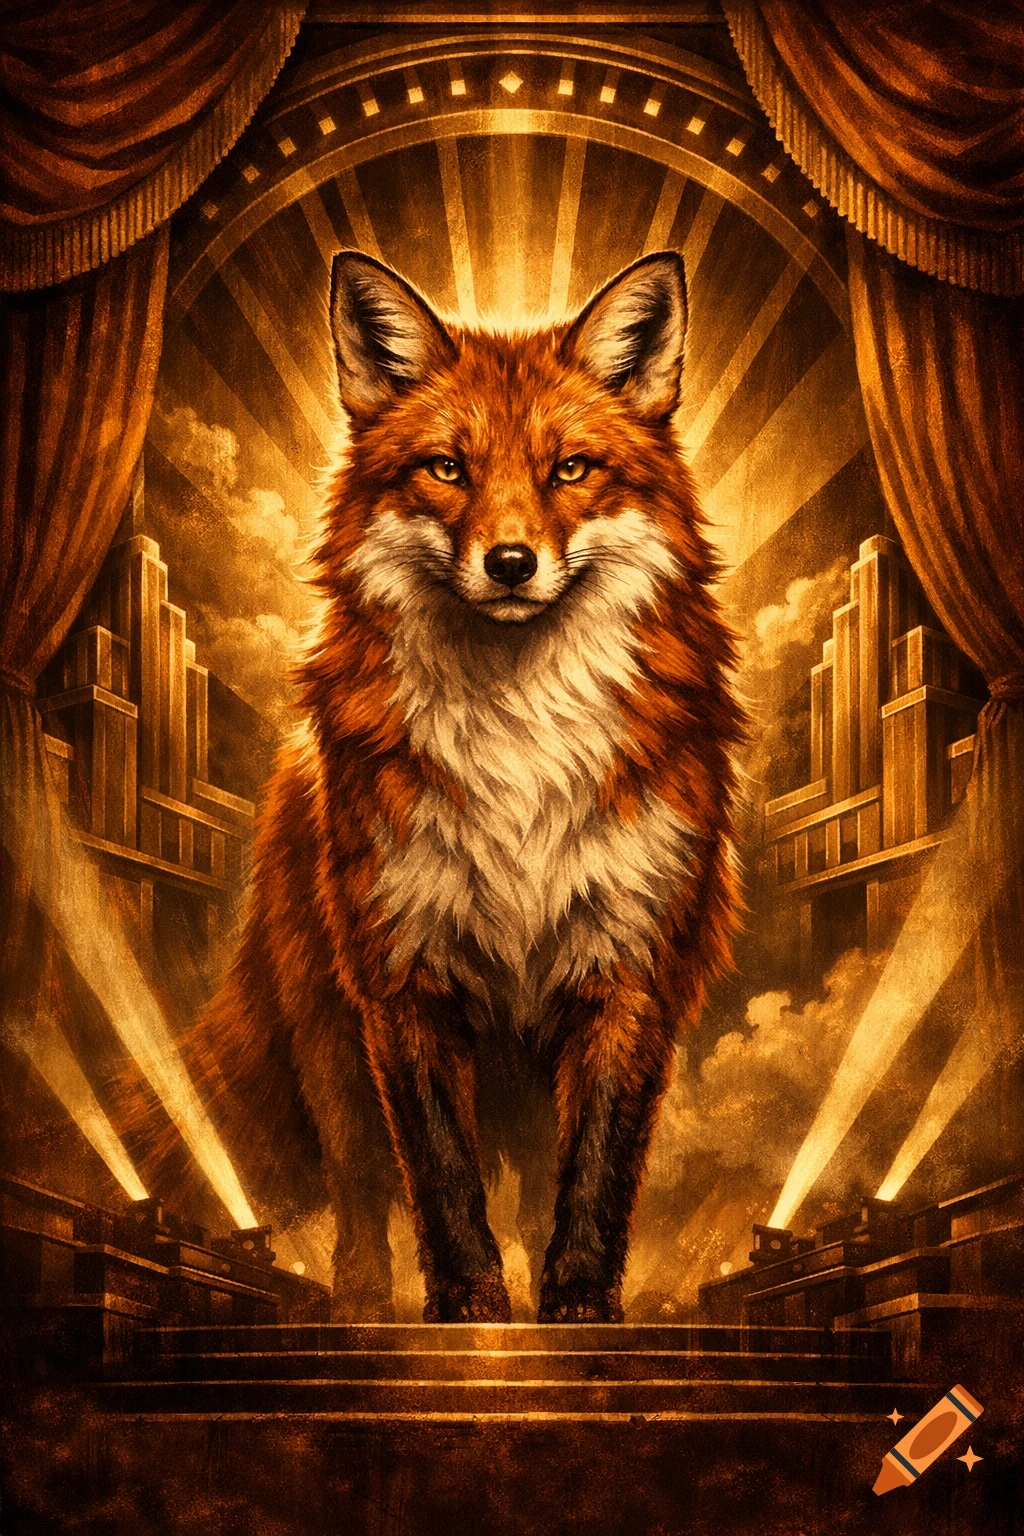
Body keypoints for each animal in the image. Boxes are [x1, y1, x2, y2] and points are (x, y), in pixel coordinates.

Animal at [189, 248, 745, 1323]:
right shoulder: (403, 972)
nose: (512, 562)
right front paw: (471, 1310)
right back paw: (361, 1304)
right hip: (332, 1047)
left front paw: (578, 1305)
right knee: (361, 1192)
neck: (518, 748)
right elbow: (439, 1175)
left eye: (569, 469)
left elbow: (596, 1173)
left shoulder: (630, 966)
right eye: (449, 469)